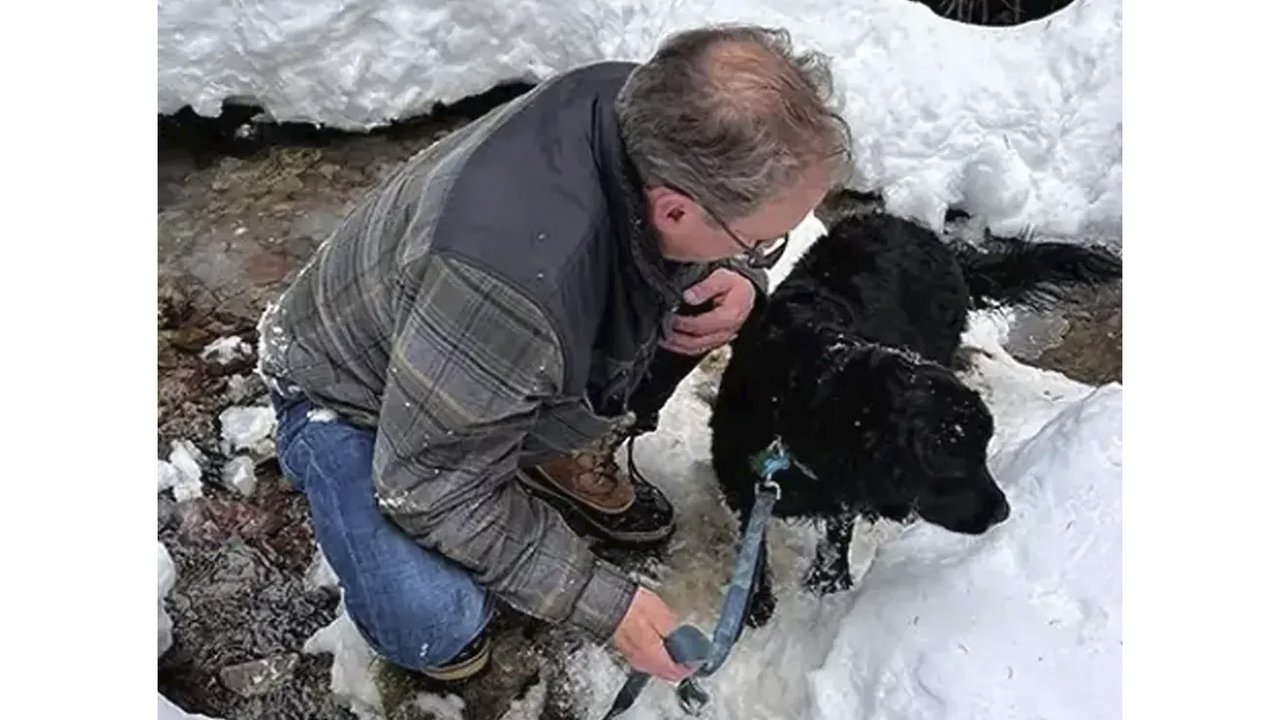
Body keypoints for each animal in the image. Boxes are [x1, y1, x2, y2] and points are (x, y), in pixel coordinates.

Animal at [711, 211, 1121, 622]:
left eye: (983, 451)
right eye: (951, 460)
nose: (1003, 512)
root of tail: (934, 241)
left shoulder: (840, 490)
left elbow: (838, 530)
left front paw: (829, 580)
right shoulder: (742, 480)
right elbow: (756, 547)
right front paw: (756, 601)